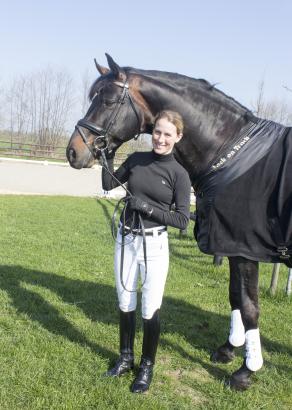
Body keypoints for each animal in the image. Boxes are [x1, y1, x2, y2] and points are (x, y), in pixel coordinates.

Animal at [66, 53, 292, 390]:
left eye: (108, 100)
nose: (73, 151)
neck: (231, 153)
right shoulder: (231, 248)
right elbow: (235, 298)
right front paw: (228, 350)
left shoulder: (244, 250)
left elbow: (250, 307)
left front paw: (246, 371)